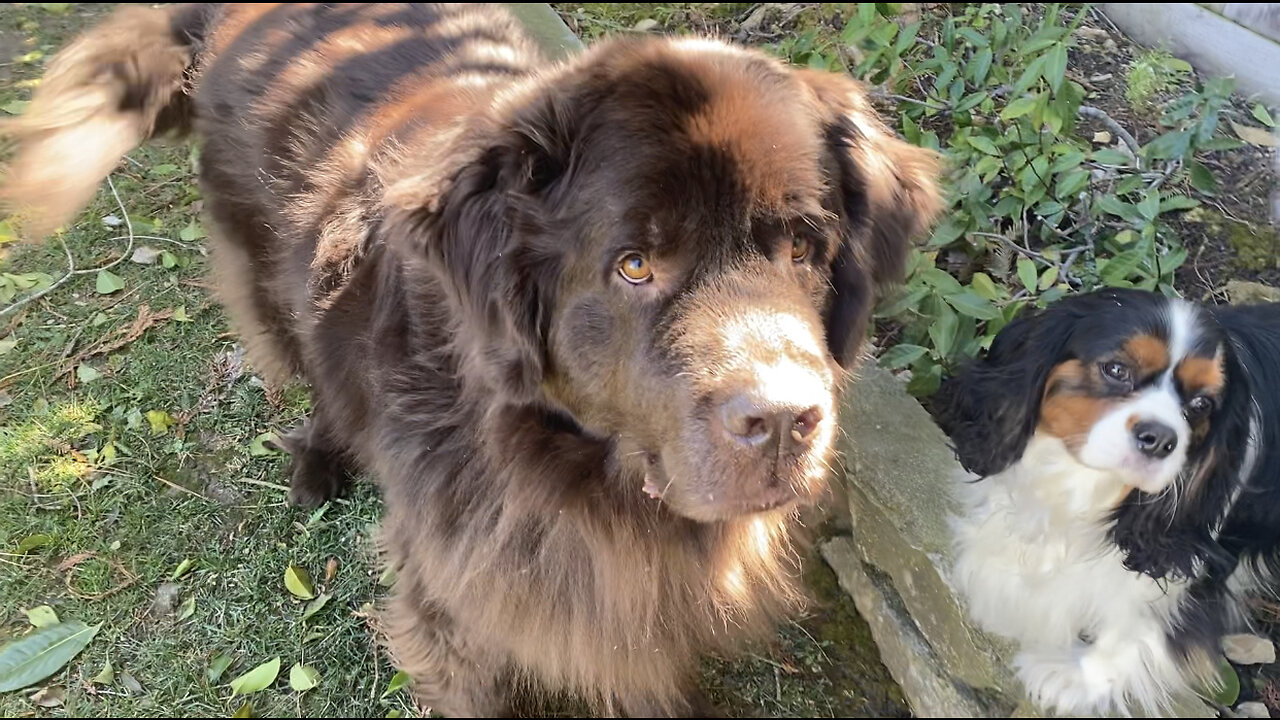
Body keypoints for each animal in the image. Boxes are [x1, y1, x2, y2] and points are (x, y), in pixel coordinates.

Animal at [0, 2, 942, 712]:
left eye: (804, 249)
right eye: (635, 265)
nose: (784, 420)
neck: (573, 472)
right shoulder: (455, 599)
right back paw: (318, 464)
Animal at [936, 285, 1280, 712]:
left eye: (1201, 405)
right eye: (1116, 370)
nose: (1161, 439)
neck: (1085, 482)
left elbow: (1133, 622)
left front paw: (1077, 676)